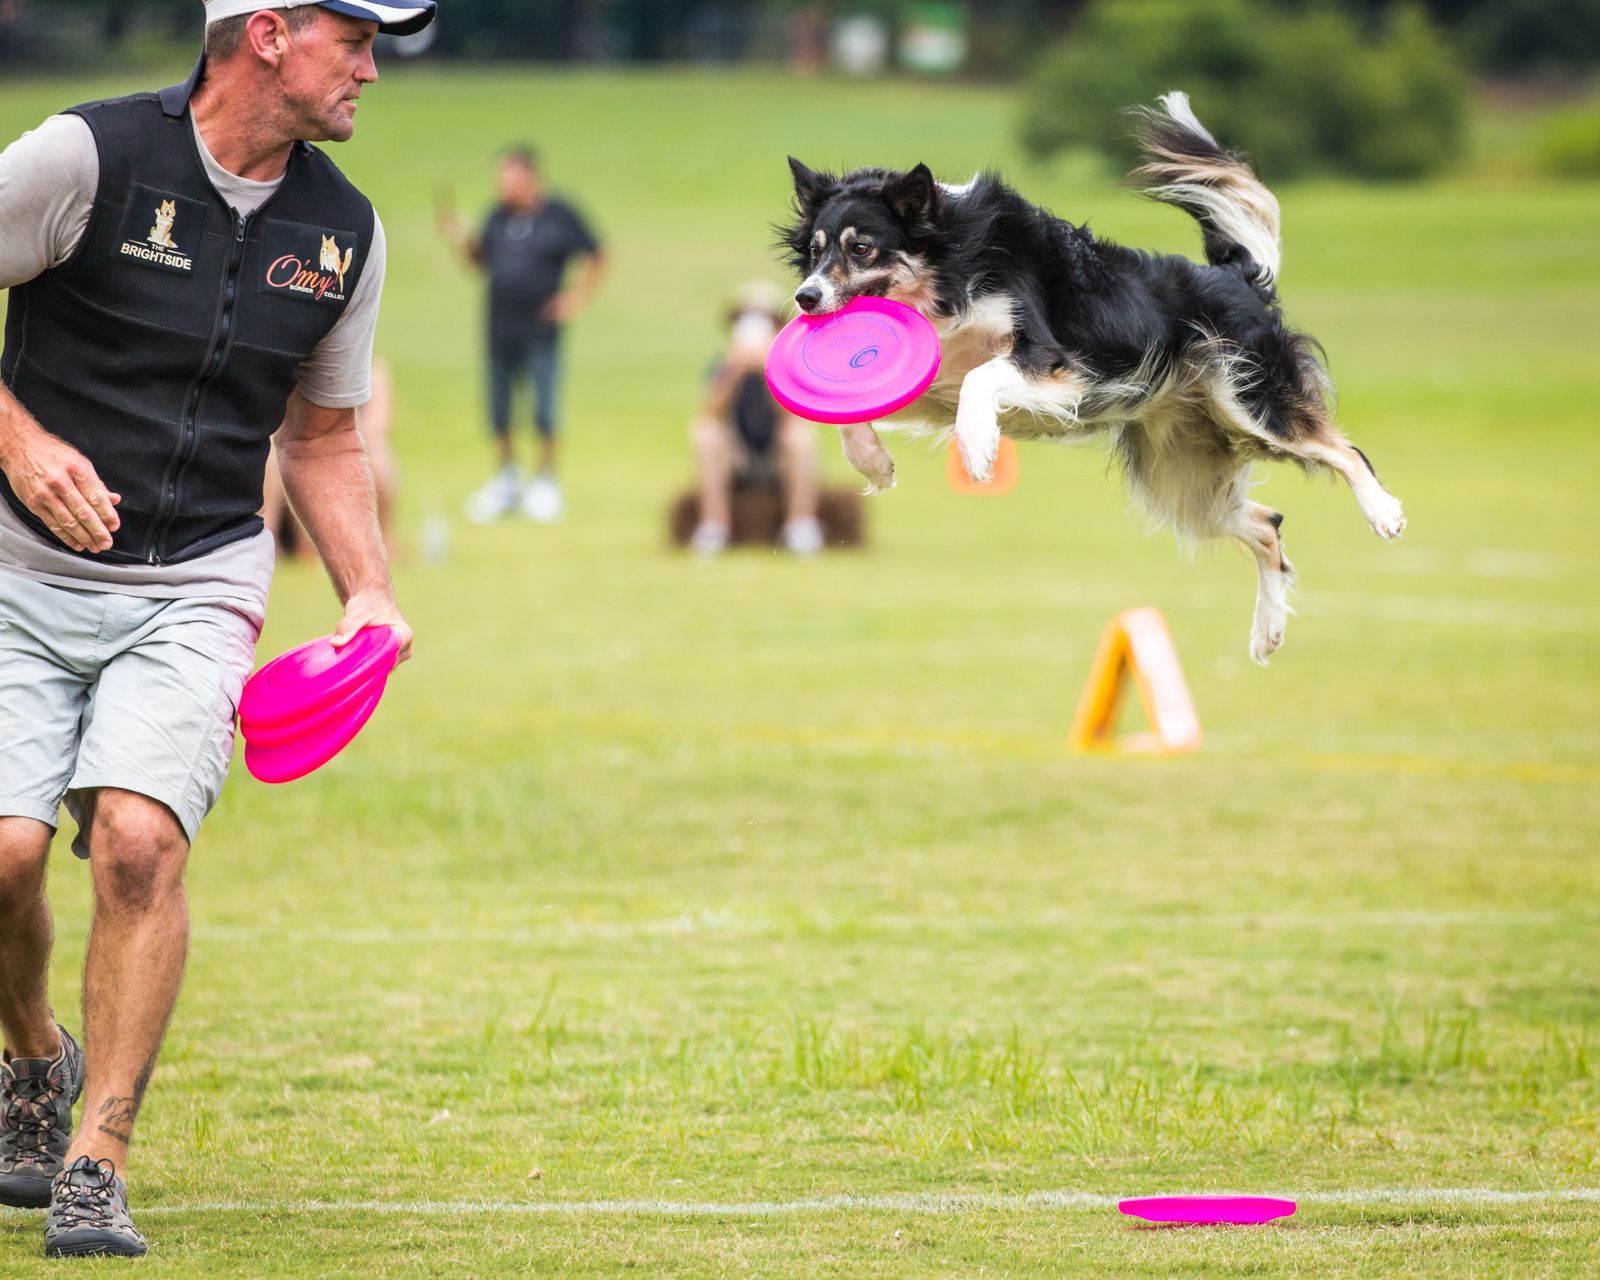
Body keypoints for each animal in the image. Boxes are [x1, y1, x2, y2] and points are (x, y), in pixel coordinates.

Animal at [779, 92, 1405, 663]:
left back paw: (1384, 514)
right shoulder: (938, 383)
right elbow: (854, 414)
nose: (805, 298)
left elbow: (982, 378)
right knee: (1267, 522)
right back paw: (1267, 630)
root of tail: (1238, 277)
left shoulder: (1053, 362)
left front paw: (978, 449)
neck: (950, 267)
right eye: (814, 251)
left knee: (1345, 452)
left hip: (1251, 400)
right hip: (1179, 471)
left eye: (862, 248)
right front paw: (873, 462)